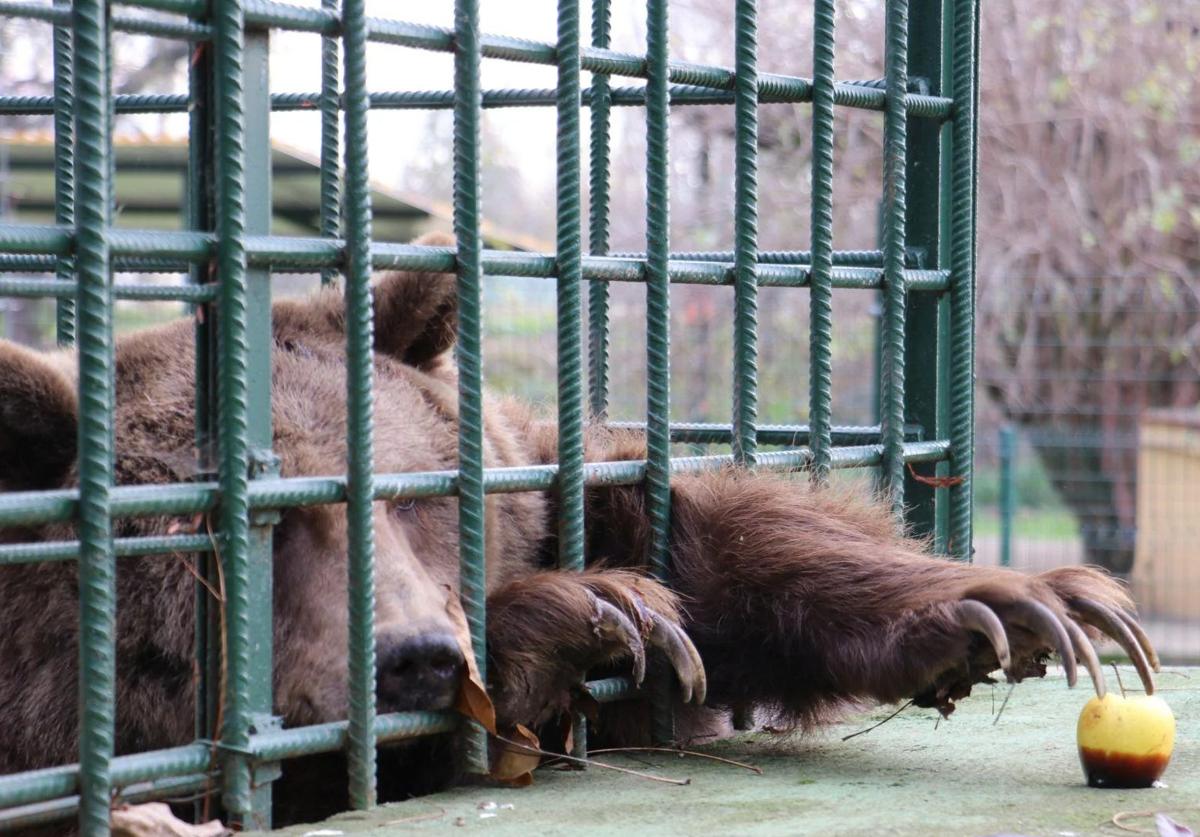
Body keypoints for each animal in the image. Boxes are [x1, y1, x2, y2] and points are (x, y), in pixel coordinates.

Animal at [2, 236, 1161, 829]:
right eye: (265, 528)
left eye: (416, 494)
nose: (417, 656)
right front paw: (586, 613)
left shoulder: (546, 466)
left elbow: (700, 531)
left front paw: (1018, 604)